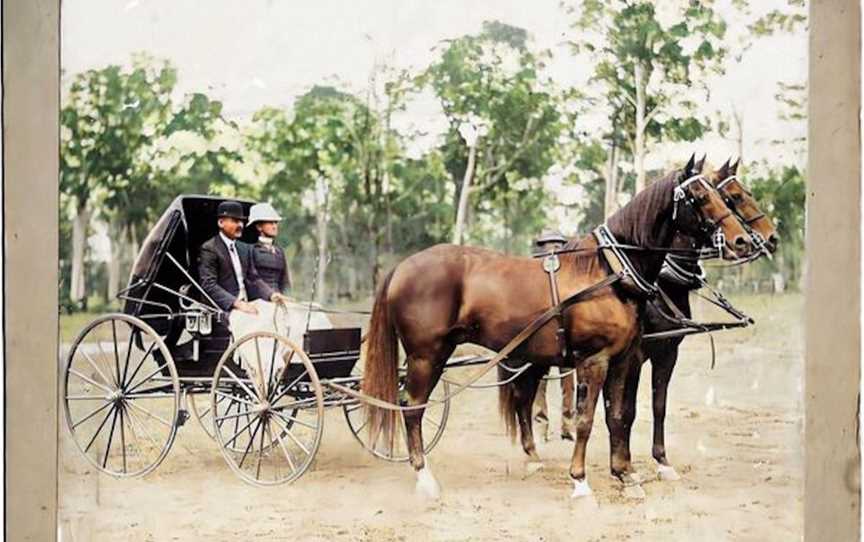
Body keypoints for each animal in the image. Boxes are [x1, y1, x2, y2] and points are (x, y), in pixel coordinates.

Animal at [360, 154, 748, 502]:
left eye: (723, 195)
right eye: (700, 197)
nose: (742, 240)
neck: (609, 271)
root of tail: (402, 267)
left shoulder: (624, 359)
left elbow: (620, 416)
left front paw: (625, 475)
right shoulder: (595, 360)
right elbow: (586, 421)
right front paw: (580, 482)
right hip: (427, 356)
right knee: (412, 408)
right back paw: (425, 478)